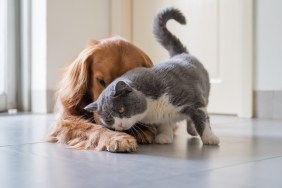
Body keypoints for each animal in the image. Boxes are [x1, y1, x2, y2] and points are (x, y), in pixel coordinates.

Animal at [85, 7, 219, 145]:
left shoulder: (193, 99)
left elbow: (202, 119)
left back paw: (193, 129)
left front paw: (210, 138)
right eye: (108, 119)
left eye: (121, 109)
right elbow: (165, 123)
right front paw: (164, 136)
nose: (119, 126)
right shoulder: (164, 116)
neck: (152, 110)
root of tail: (180, 54)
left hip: (204, 94)